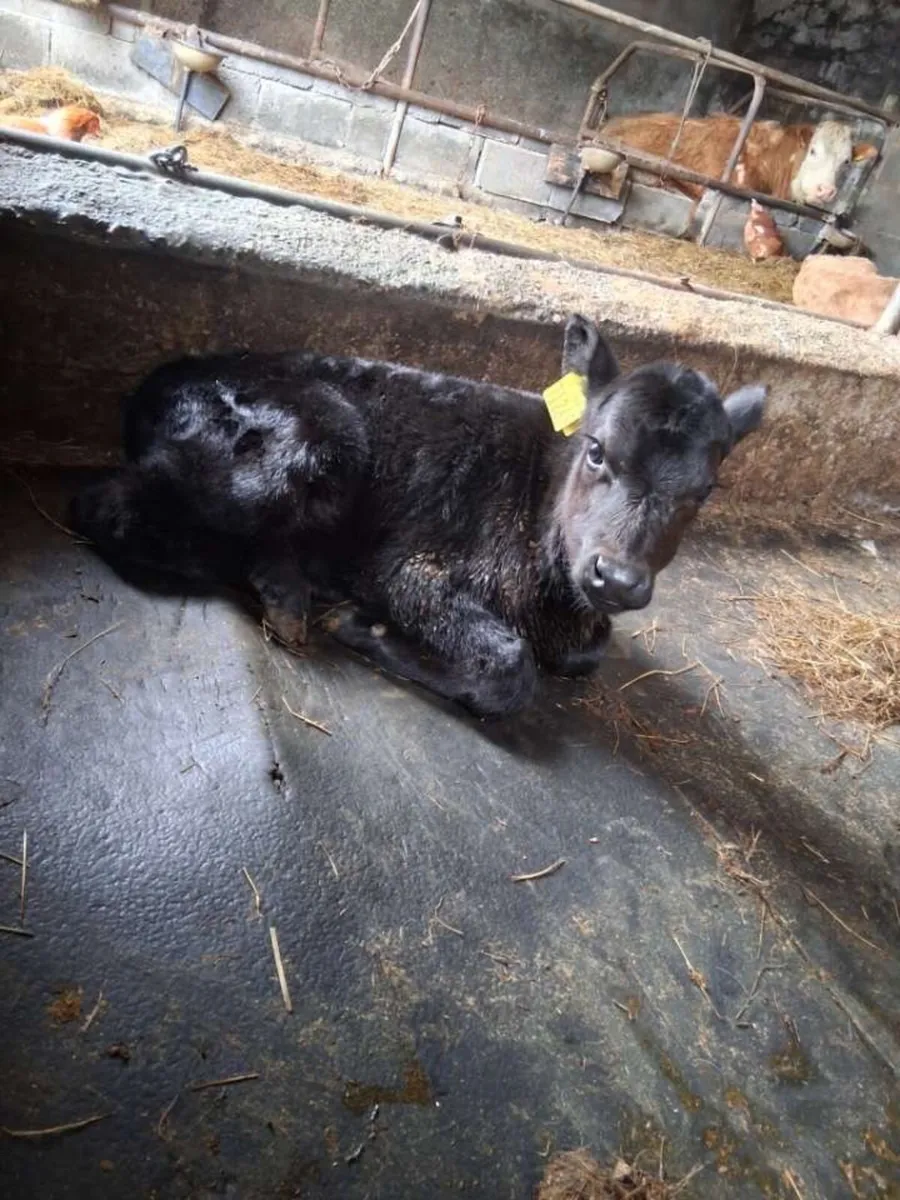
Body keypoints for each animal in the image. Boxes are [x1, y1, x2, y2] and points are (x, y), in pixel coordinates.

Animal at [70, 316, 767, 718]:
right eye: (597, 449)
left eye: (704, 492)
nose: (618, 579)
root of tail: (161, 379)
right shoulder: (412, 570)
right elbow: (510, 667)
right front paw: (366, 628)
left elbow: (586, 655)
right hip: (318, 442)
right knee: (107, 507)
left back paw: (285, 587)